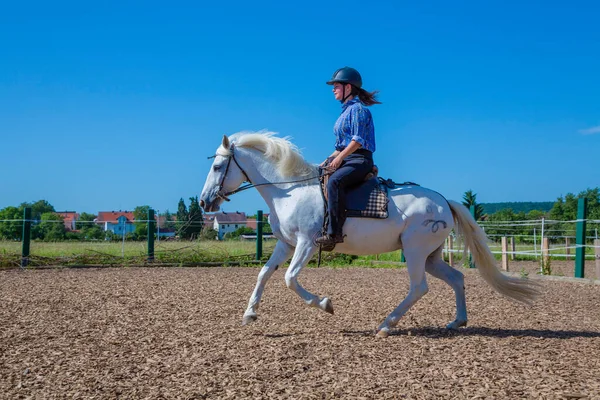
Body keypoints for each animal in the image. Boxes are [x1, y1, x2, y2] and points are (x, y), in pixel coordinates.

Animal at [199, 132, 536, 338]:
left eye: (217, 167)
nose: (204, 202)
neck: (290, 190)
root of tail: (444, 201)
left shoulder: (306, 244)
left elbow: (289, 279)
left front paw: (325, 304)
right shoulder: (286, 244)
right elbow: (264, 274)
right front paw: (250, 314)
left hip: (415, 251)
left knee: (419, 288)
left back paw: (387, 325)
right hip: (431, 256)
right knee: (456, 278)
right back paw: (457, 321)